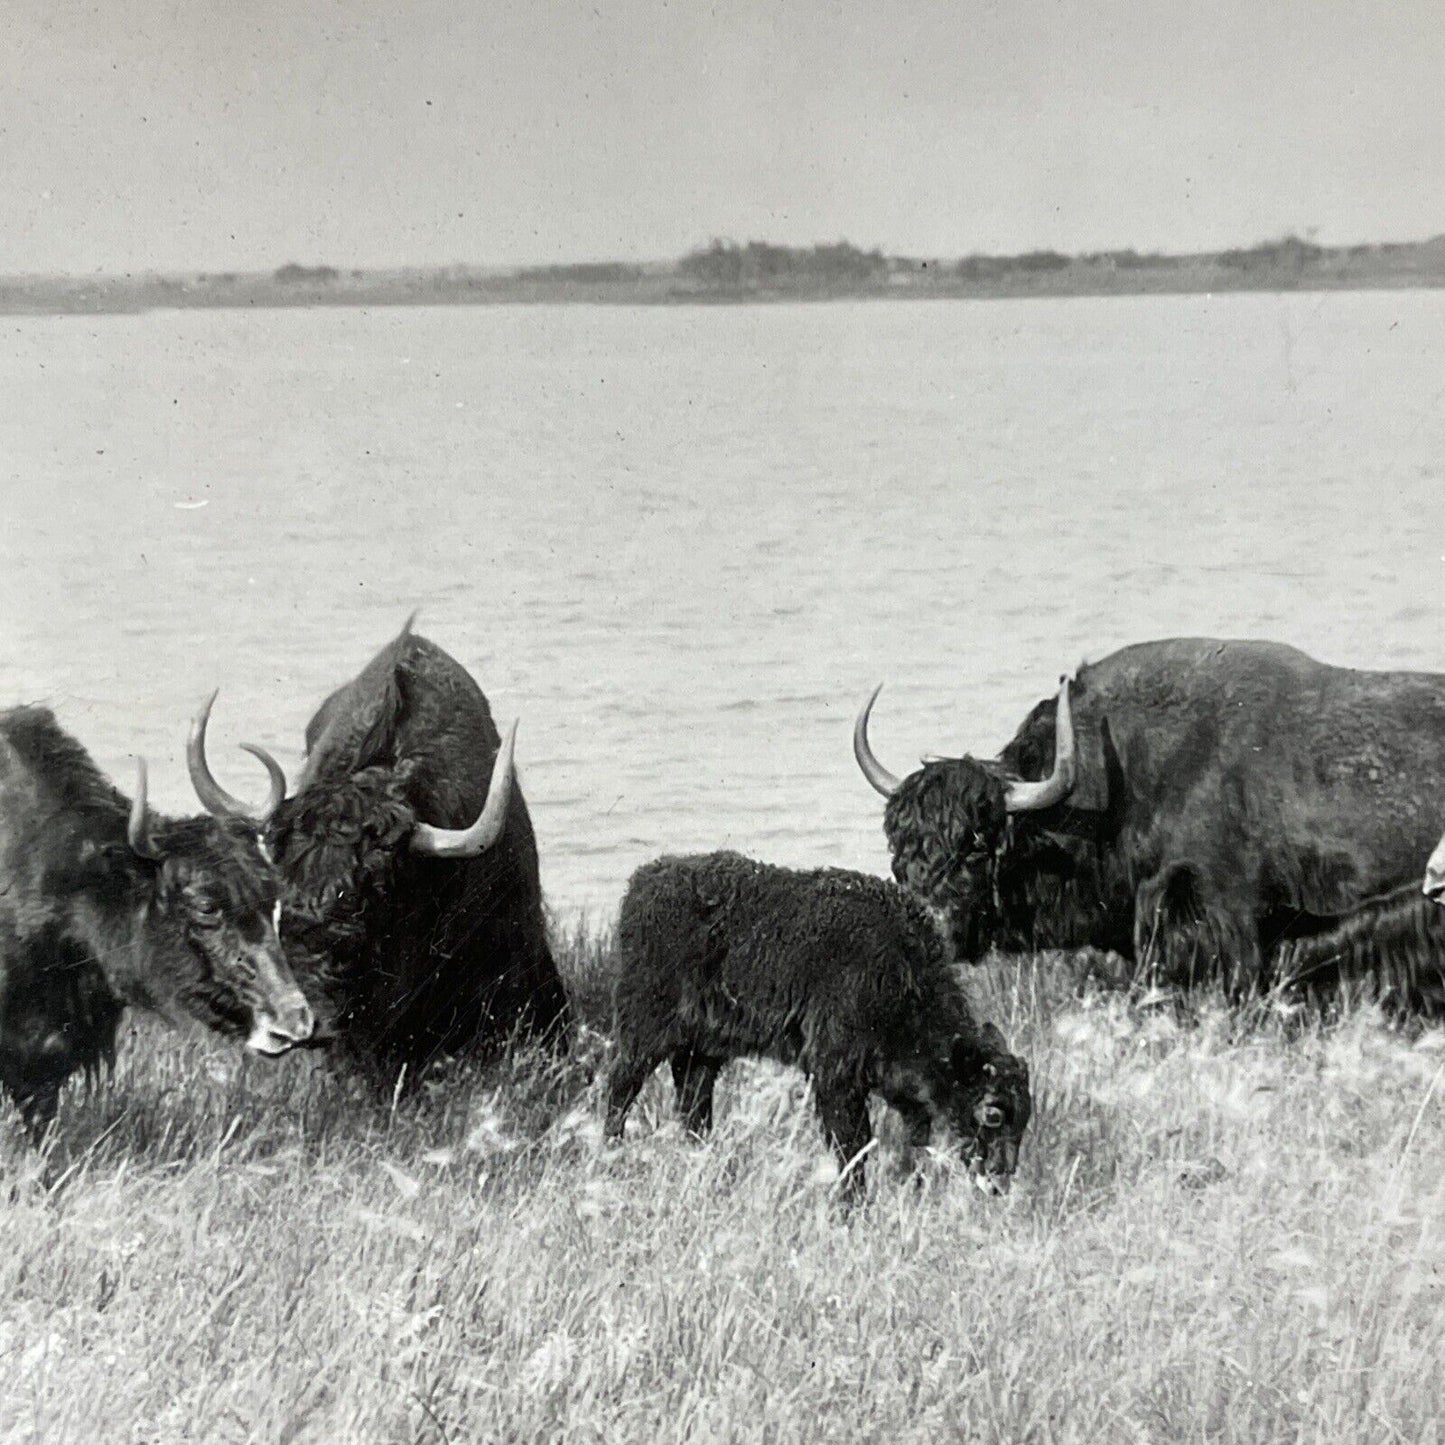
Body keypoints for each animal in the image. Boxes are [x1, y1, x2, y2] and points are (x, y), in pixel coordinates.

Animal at [604, 849, 1034, 1202]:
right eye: (993, 1113)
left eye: (1025, 1115)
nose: (1000, 1180)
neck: (905, 975)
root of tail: (643, 882)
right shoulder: (835, 1076)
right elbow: (853, 1148)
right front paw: (852, 1209)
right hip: (644, 1031)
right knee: (622, 1087)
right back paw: (612, 1157)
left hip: (702, 1049)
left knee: (693, 1102)